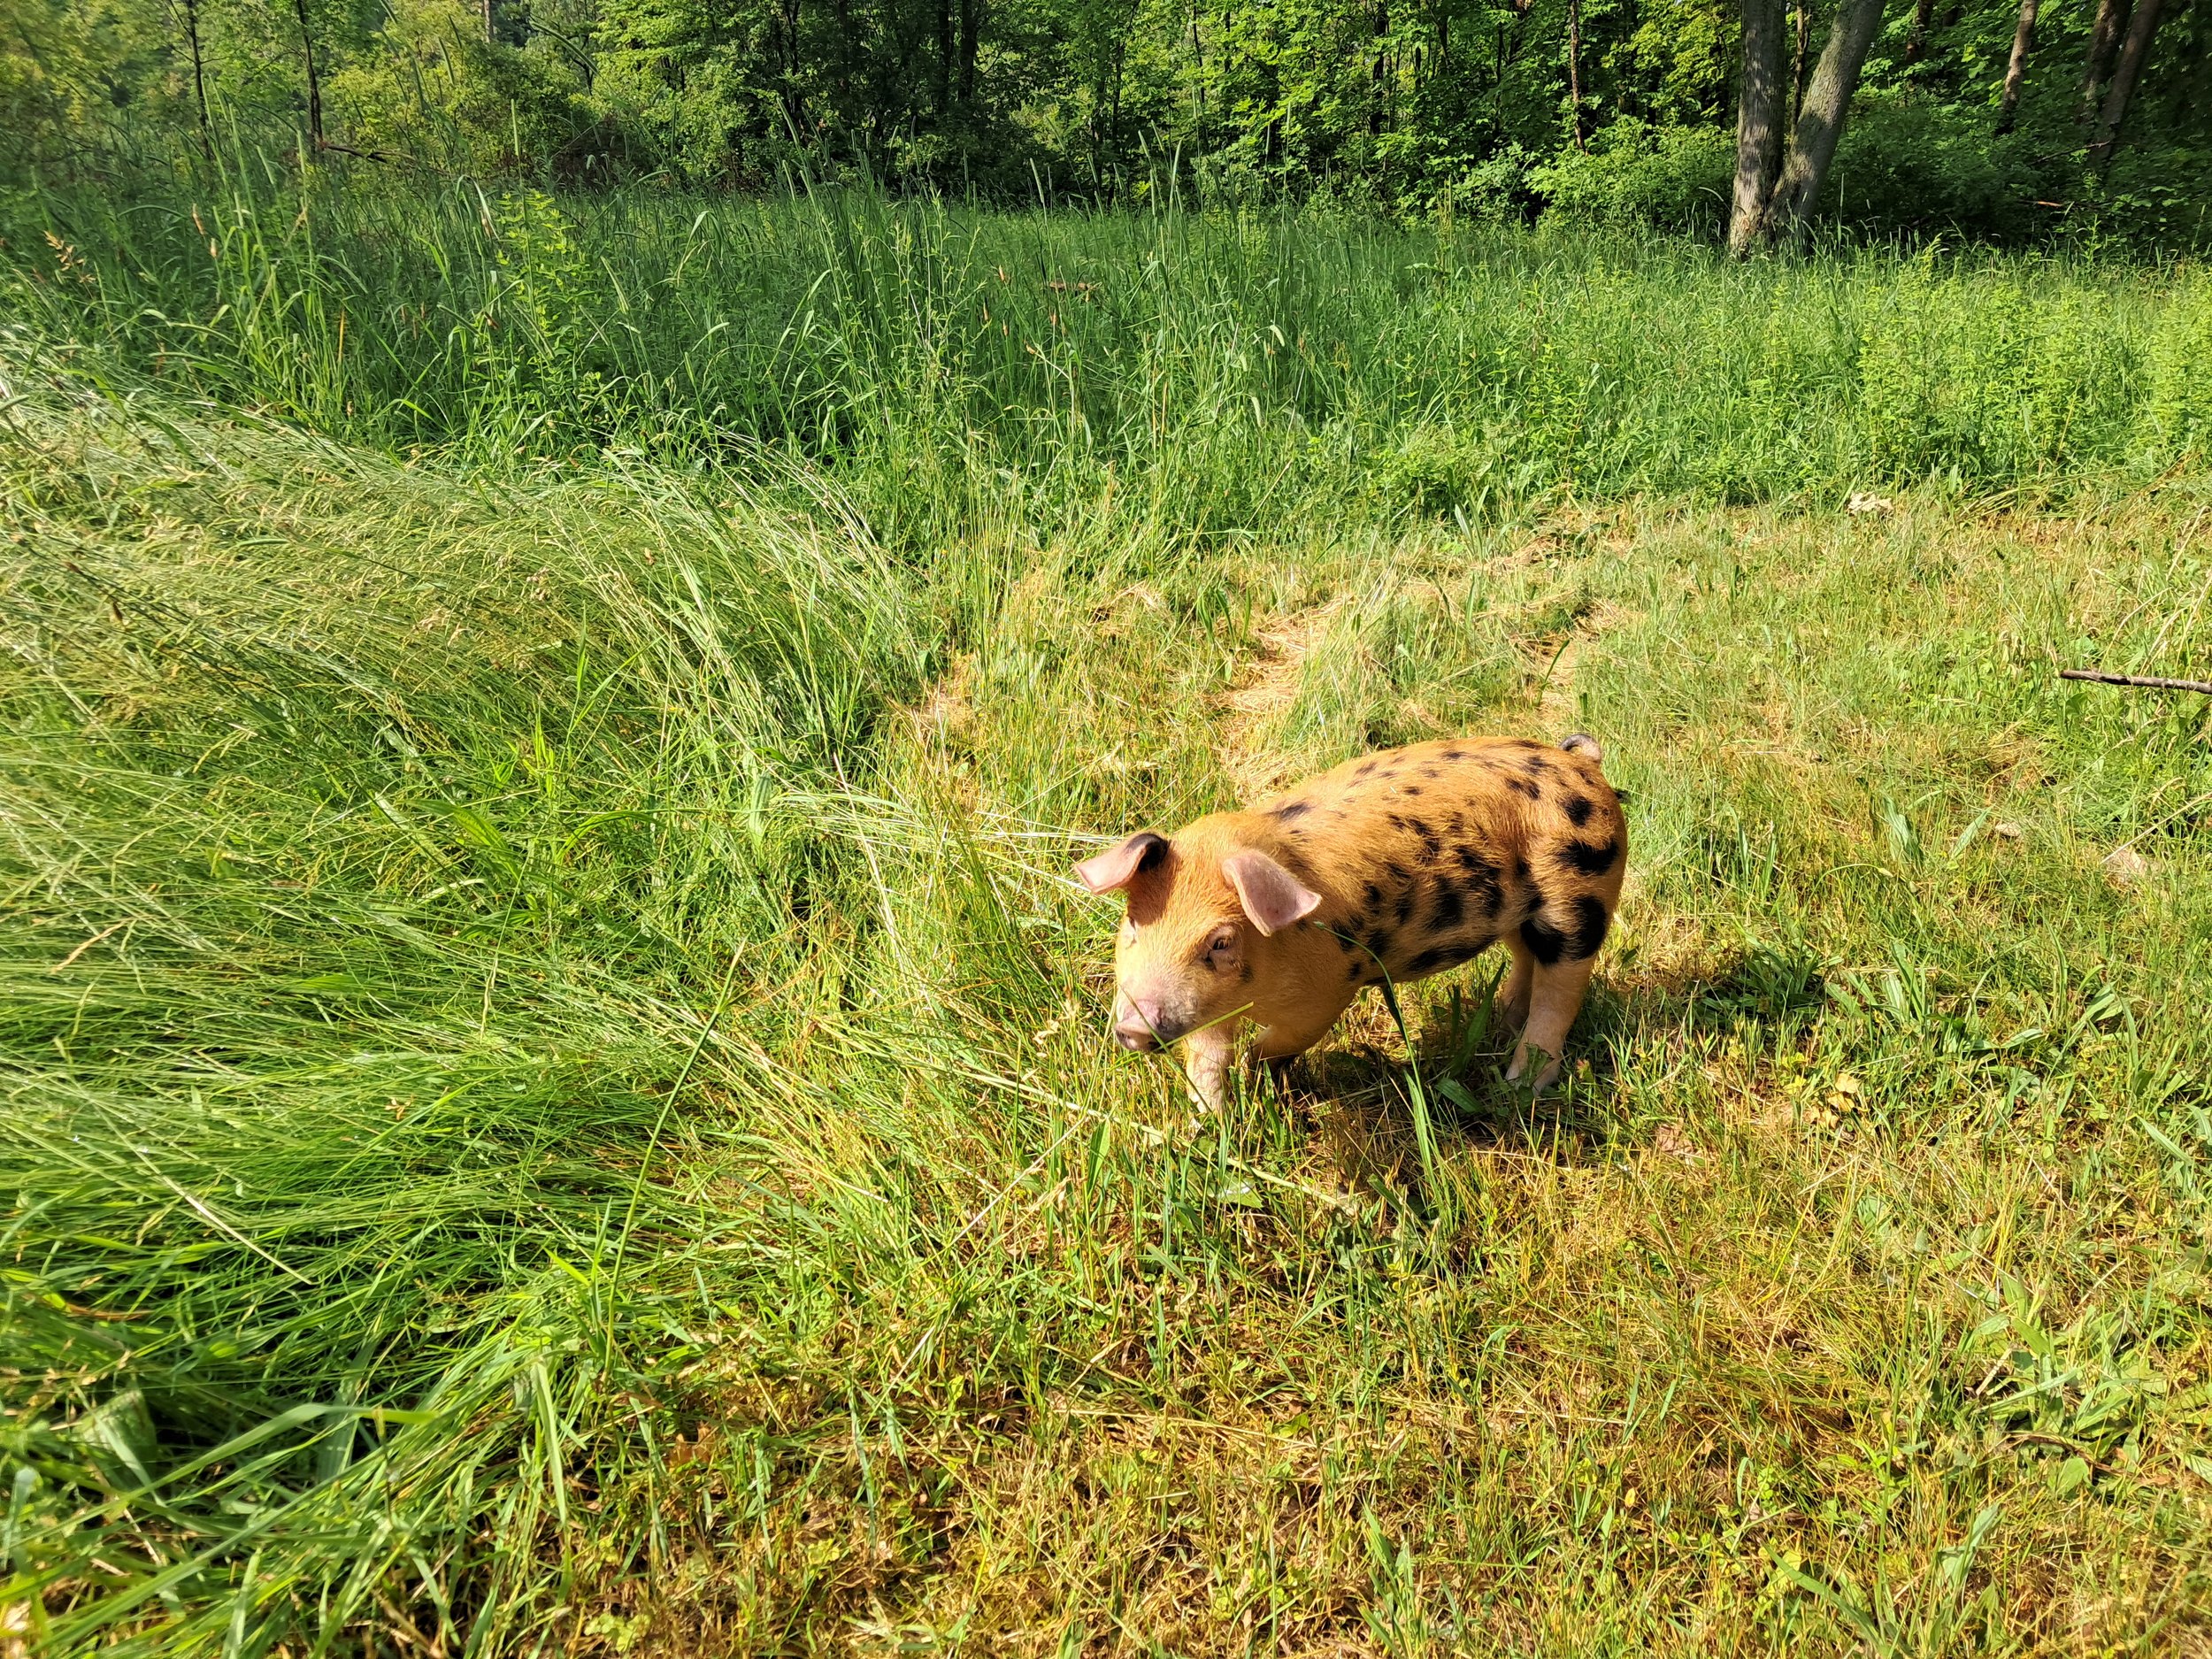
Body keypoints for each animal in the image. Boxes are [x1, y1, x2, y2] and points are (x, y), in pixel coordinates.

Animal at [1073, 734, 1625, 1110]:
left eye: (1221, 942)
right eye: (1133, 925)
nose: (1133, 1027)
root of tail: (1582, 762)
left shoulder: (1329, 993)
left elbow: (1273, 1046)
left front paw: (1259, 1077)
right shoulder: (1209, 1011)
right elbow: (1208, 1058)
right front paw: (1206, 1121)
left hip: (1582, 899)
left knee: (1562, 992)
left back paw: (1520, 1085)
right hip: (1522, 915)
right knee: (1525, 959)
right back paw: (1497, 1025)